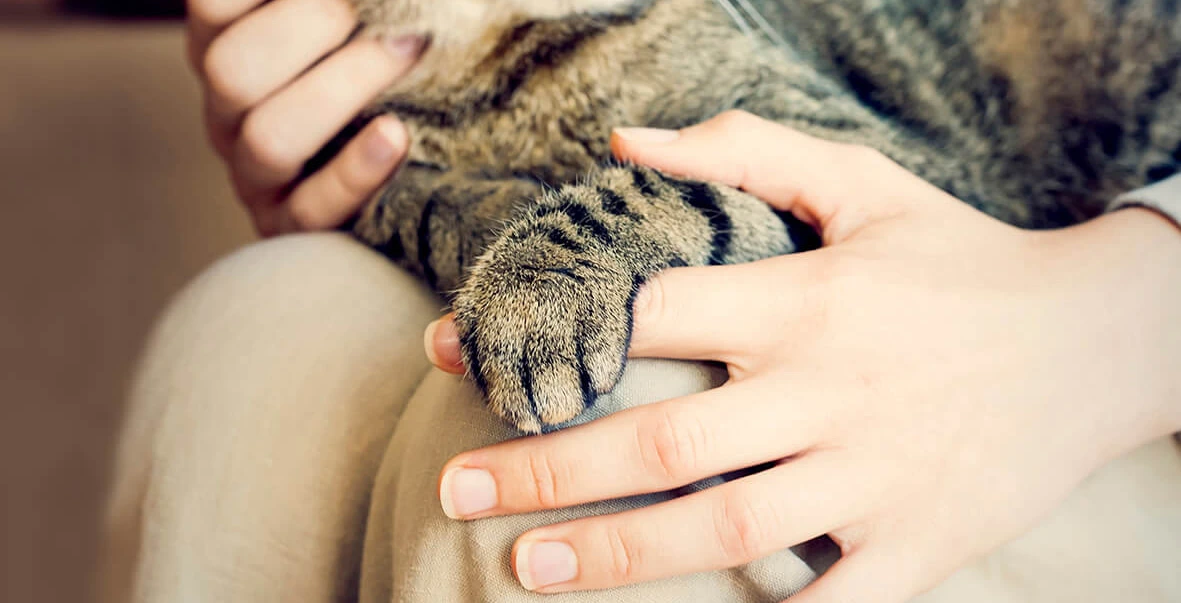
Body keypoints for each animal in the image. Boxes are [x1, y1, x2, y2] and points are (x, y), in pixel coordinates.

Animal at [335, 1, 1181, 434]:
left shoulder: (892, 167)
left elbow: (667, 180)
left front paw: (531, 287)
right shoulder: (367, 167)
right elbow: (412, 202)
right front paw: (496, 222)